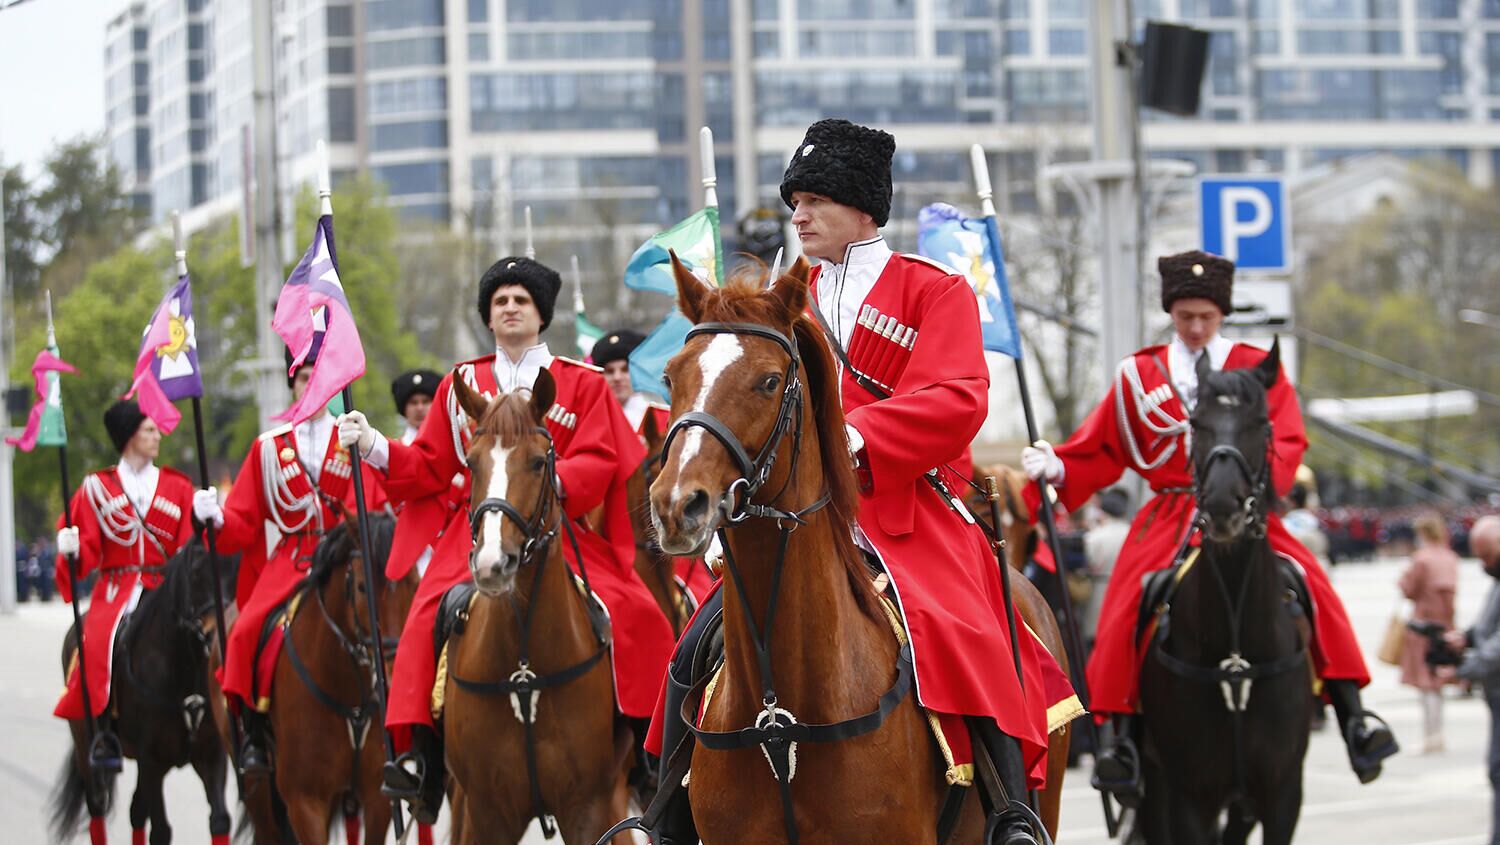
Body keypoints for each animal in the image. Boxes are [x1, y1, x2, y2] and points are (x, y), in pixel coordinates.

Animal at [49, 543, 237, 845]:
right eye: (196, 572)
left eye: (237, 570)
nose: (217, 637)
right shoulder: (152, 760)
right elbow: (161, 831)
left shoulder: (210, 755)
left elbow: (219, 821)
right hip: (87, 748)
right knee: (97, 805)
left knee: (136, 811)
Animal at [241, 513, 420, 845]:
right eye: (362, 587)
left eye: (415, 582)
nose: (395, 671)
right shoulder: (305, 802)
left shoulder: (377, 799)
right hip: (259, 793)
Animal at [441, 376, 636, 845]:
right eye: (471, 463)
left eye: (535, 462)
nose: (493, 563)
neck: (525, 669)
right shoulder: (488, 813)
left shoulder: (588, 807)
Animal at [1134, 343, 1314, 845]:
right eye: (1196, 423)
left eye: (1262, 422)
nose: (1220, 506)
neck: (1236, 659)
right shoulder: (1191, 796)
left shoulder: (1282, 795)